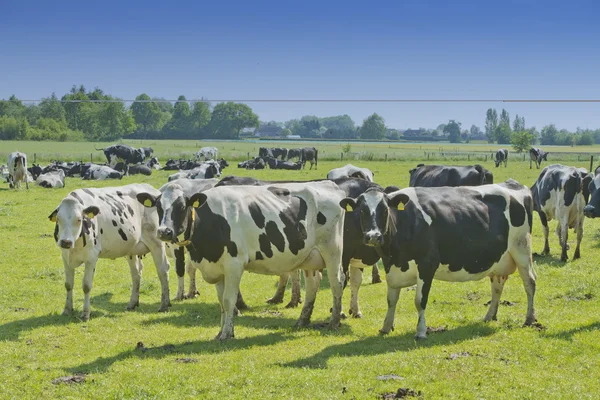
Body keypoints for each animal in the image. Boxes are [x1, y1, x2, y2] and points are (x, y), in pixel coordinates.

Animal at [47, 184, 171, 322]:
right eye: (58, 219)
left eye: (79, 219)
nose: (66, 242)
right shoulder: (65, 257)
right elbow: (68, 284)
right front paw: (67, 310)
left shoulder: (91, 257)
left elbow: (86, 286)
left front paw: (85, 314)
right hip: (132, 249)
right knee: (136, 274)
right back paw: (132, 303)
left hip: (157, 242)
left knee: (163, 270)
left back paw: (164, 305)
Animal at [137, 181, 346, 340]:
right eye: (158, 207)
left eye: (181, 206)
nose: (164, 232)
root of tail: (328, 184)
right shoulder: (217, 268)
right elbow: (221, 302)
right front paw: (221, 331)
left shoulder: (234, 265)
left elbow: (229, 300)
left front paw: (227, 334)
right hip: (310, 256)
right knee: (313, 284)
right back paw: (302, 320)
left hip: (332, 250)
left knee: (337, 282)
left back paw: (334, 322)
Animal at [340, 180, 536, 340]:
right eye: (362, 211)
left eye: (385, 210)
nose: (373, 236)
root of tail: (513, 184)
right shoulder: (392, 267)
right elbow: (391, 300)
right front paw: (386, 327)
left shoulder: (427, 264)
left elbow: (420, 301)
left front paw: (421, 332)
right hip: (499, 259)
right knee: (497, 285)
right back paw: (489, 316)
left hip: (522, 249)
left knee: (530, 282)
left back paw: (530, 319)